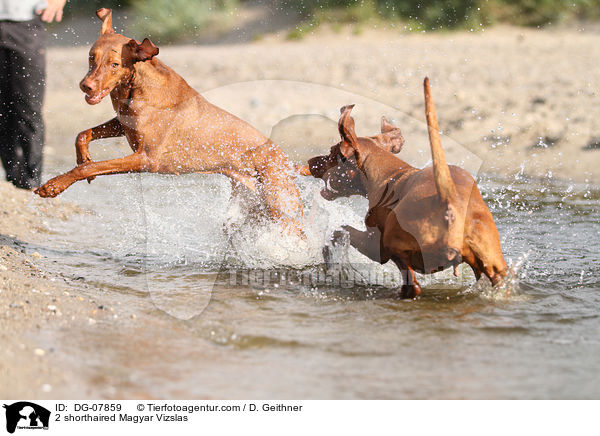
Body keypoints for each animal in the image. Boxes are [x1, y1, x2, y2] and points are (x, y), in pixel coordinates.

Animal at [35, 7, 302, 235]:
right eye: (92, 57)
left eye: (115, 64)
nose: (86, 85)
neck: (138, 87)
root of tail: (288, 162)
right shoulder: (123, 124)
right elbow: (82, 135)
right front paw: (84, 158)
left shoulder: (147, 158)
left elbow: (91, 167)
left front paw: (54, 185)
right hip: (251, 208)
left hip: (282, 210)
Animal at [308, 77, 508, 296]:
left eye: (331, 153)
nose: (310, 162)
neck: (389, 174)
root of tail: (449, 201)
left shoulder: (375, 246)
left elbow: (339, 230)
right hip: (495, 266)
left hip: (395, 245)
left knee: (413, 287)